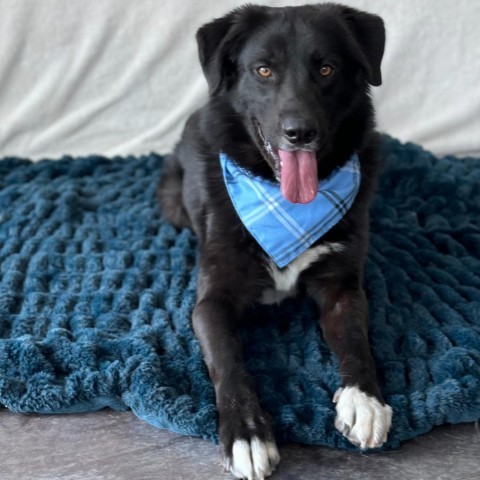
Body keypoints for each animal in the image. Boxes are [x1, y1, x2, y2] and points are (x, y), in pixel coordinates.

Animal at [159, 2, 392, 476]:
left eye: (326, 68)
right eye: (263, 70)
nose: (299, 133)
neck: (286, 208)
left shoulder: (342, 287)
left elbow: (356, 338)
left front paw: (365, 400)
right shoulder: (211, 302)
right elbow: (229, 359)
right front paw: (247, 433)